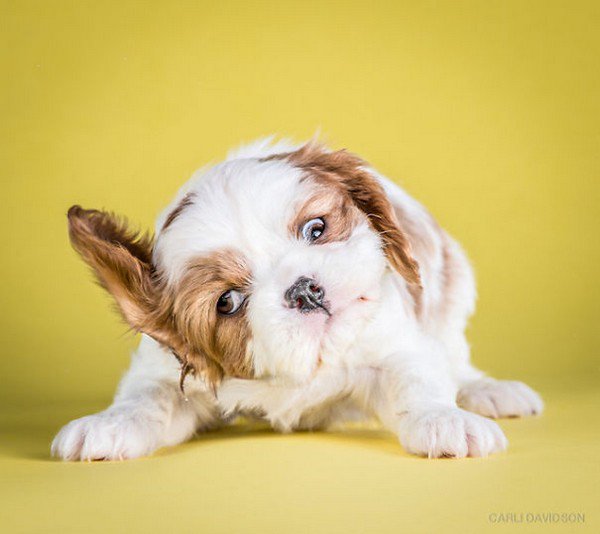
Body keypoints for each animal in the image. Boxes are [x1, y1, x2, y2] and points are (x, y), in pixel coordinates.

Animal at [51, 137, 544, 460]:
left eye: (316, 229)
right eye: (227, 302)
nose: (304, 289)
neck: (305, 367)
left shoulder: (393, 341)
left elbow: (418, 380)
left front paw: (446, 419)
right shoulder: (169, 374)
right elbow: (146, 399)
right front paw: (109, 423)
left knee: (455, 359)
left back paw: (488, 390)